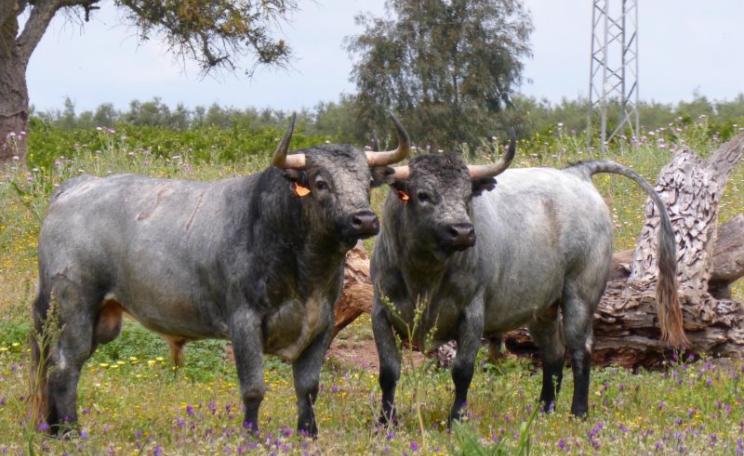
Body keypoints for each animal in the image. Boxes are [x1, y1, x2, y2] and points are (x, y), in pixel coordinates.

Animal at [30, 114, 410, 437]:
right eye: (320, 182)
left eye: (367, 181)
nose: (364, 219)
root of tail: (78, 186)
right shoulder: (244, 322)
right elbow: (253, 388)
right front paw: (251, 436)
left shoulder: (321, 324)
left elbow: (308, 388)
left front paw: (308, 434)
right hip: (74, 307)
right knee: (65, 365)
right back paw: (69, 432)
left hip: (99, 317)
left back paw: (53, 427)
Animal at [370, 138, 686, 426]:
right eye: (423, 194)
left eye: (467, 195)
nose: (462, 232)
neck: (424, 275)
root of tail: (577, 175)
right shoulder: (380, 313)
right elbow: (389, 371)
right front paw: (386, 422)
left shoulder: (472, 314)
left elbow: (462, 370)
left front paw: (456, 420)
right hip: (542, 309)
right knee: (553, 353)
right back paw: (545, 410)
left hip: (580, 296)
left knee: (580, 350)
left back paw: (578, 413)